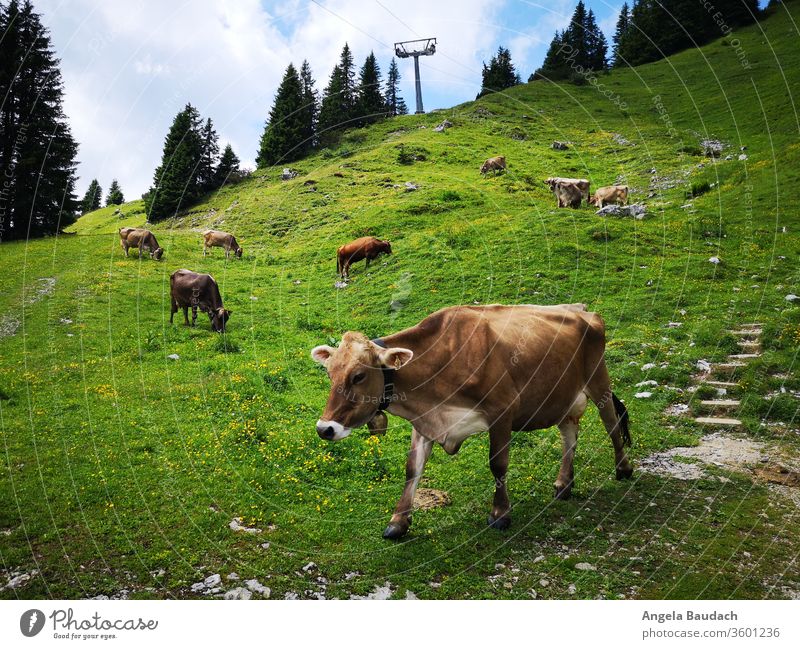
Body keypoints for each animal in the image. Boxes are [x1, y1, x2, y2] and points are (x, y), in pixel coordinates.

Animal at [310, 302, 632, 536]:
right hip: (563, 395)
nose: (325, 429)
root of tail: (581, 309)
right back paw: (564, 484)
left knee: (611, 424)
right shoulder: (425, 421)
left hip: (599, 381)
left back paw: (624, 468)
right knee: (569, 434)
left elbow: (498, 464)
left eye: (358, 376)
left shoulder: (502, 411)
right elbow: (412, 469)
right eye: (329, 374)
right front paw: (398, 522)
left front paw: (500, 514)